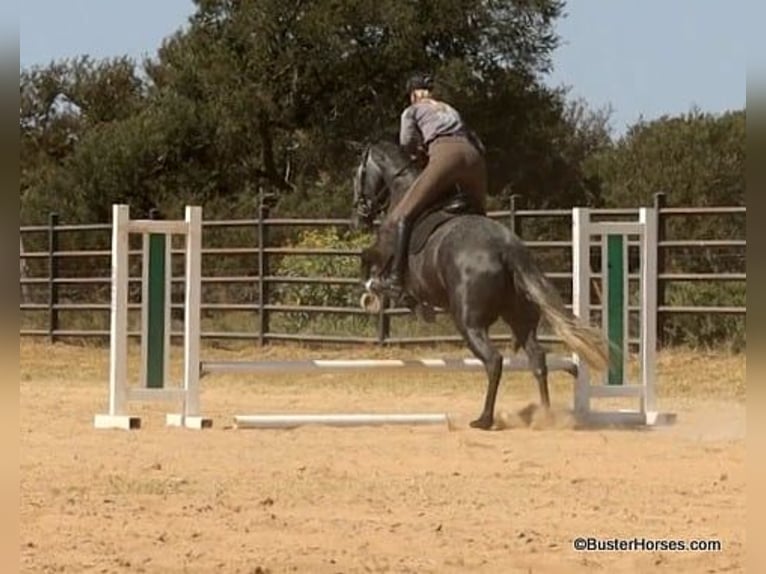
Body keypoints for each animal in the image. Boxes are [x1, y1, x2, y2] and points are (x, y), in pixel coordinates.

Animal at [351, 140, 608, 430]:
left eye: (357, 174)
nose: (358, 216)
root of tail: (507, 249)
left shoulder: (382, 250)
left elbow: (366, 262)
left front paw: (374, 294)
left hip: (469, 322)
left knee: (494, 360)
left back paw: (484, 419)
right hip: (519, 318)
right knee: (537, 358)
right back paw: (545, 415)